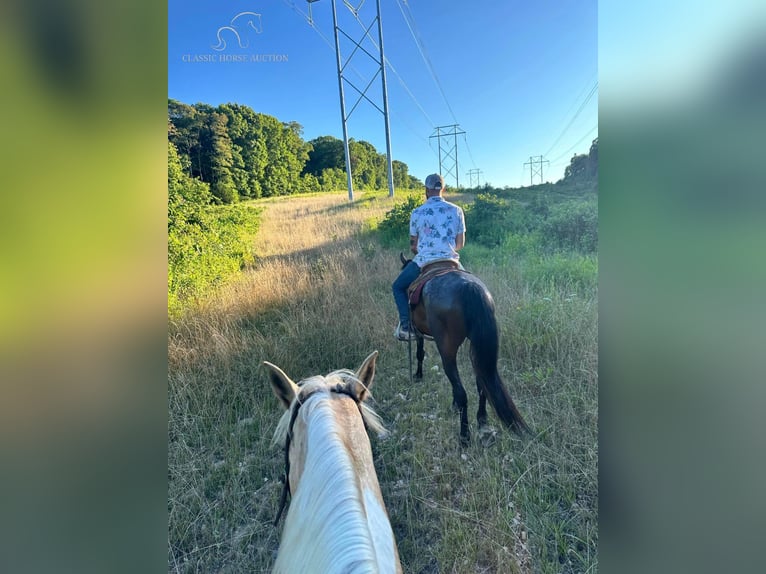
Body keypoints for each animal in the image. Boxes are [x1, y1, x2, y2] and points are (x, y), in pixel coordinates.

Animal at [402, 254, 528, 448]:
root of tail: (469, 287)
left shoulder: (418, 332)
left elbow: (419, 353)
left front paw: (418, 374)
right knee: (481, 385)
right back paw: (482, 420)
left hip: (446, 350)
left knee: (461, 392)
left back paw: (464, 436)